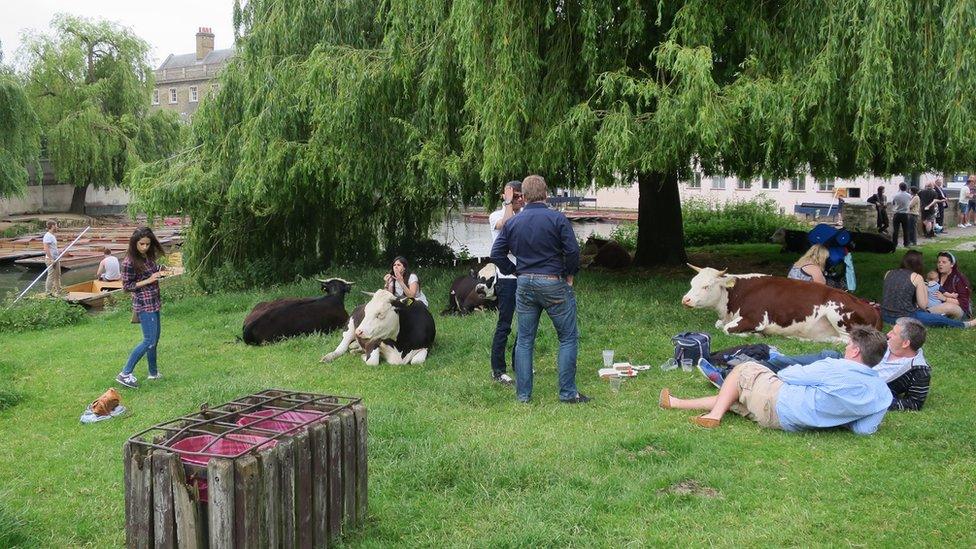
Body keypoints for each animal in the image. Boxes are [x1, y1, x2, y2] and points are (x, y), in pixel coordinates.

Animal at [680, 264, 884, 340]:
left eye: (706, 286)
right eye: (691, 283)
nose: (686, 299)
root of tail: (871, 307)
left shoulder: (757, 319)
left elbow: (727, 329)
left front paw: (755, 335)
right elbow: (719, 325)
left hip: (837, 312)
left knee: (845, 340)